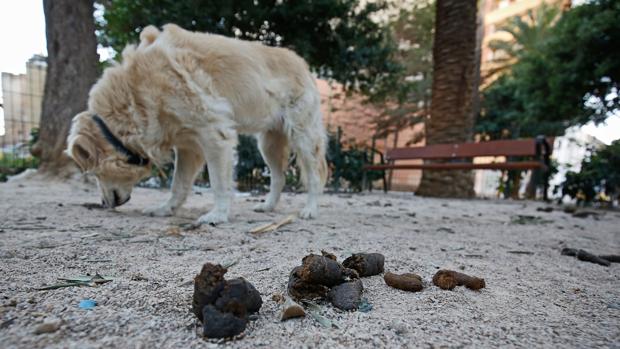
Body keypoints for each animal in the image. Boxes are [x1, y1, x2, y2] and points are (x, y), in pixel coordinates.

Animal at [66, 25, 330, 226]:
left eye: (94, 174)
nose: (104, 205)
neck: (135, 94)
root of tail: (302, 62)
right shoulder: (187, 146)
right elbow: (179, 185)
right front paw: (166, 209)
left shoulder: (215, 135)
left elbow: (219, 183)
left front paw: (217, 215)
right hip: (268, 143)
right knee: (279, 177)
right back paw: (268, 206)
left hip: (303, 137)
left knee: (315, 175)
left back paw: (311, 209)